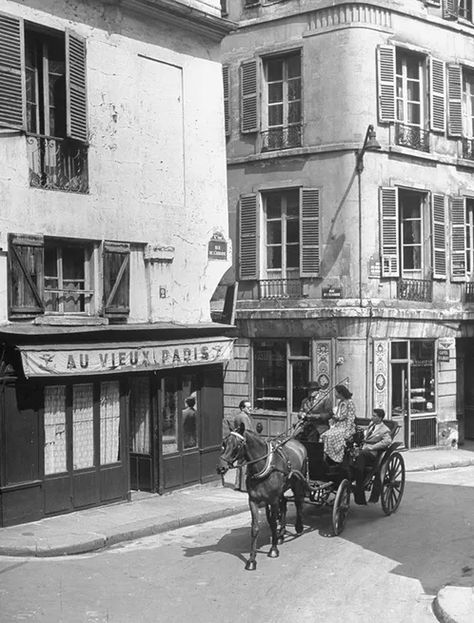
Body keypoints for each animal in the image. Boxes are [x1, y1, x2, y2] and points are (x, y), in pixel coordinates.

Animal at [216, 424, 308, 572]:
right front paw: (252, 560)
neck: (264, 466)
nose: (220, 468)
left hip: (297, 482)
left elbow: (273, 523)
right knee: (284, 505)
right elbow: (255, 528)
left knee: (298, 501)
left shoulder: (273, 500)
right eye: (224, 443)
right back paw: (282, 533)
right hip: (282, 490)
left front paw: (273, 550)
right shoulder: (254, 501)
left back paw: (298, 527)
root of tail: (298, 443)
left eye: (237, 445)